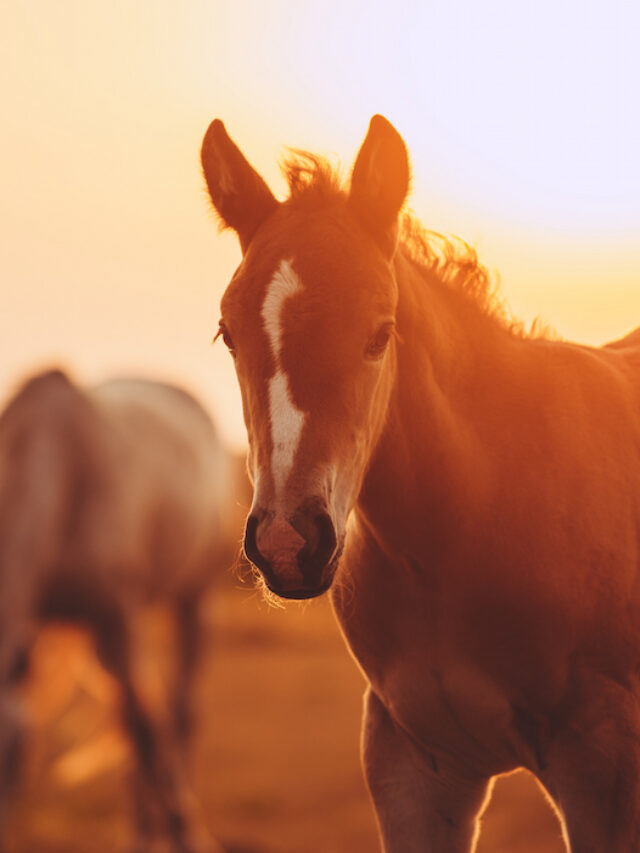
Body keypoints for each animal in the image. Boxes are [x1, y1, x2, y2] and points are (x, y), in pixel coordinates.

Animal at [0, 368, 239, 853]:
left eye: (10, 756)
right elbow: (138, 726)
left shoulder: (117, 622)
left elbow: (147, 729)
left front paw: (184, 832)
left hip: (194, 600)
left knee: (177, 713)